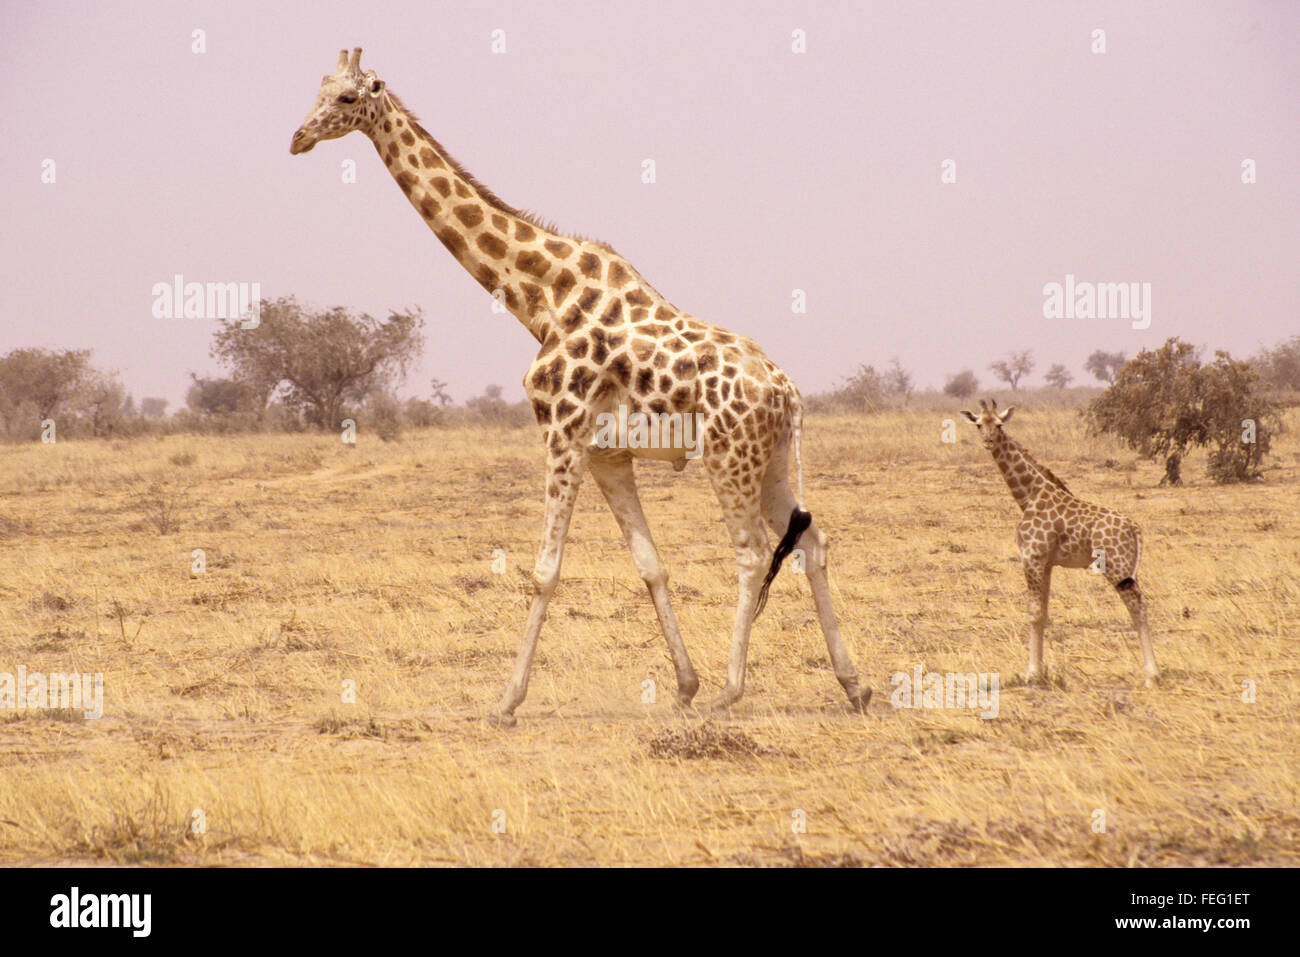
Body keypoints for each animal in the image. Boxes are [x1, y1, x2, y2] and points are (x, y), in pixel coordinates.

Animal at [289, 48, 868, 722]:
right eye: (318, 88)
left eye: (348, 99)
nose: (298, 138)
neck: (541, 296)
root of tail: (790, 394)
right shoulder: (607, 454)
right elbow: (650, 564)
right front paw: (683, 685)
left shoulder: (561, 432)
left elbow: (545, 569)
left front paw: (506, 701)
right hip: (771, 459)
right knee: (812, 542)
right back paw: (853, 685)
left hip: (730, 458)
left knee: (752, 551)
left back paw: (733, 690)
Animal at [967, 400, 1159, 686]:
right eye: (979, 424)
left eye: (999, 425)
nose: (988, 441)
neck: (1028, 496)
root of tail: (1135, 528)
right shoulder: (1047, 563)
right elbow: (1044, 613)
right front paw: (1040, 670)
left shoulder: (1031, 558)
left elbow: (1034, 613)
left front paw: (1031, 673)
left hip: (1117, 568)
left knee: (1138, 607)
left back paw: (1151, 674)